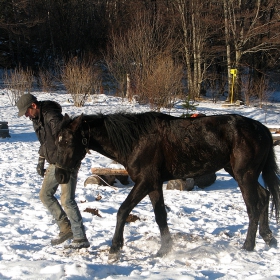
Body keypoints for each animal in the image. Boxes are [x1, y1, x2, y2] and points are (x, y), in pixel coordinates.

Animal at [54, 111, 280, 260]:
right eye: (58, 142)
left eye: (67, 142)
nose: (59, 175)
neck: (136, 140)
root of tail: (262, 129)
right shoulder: (153, 184)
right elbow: (160, 215)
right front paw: (165, 249)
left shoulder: (145, 181)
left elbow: (123, 210)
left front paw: (115, 248)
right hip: (240, 173)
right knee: (265, 195)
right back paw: (268, 237)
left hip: (245, 175)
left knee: (253, 207)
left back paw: (249, 245)